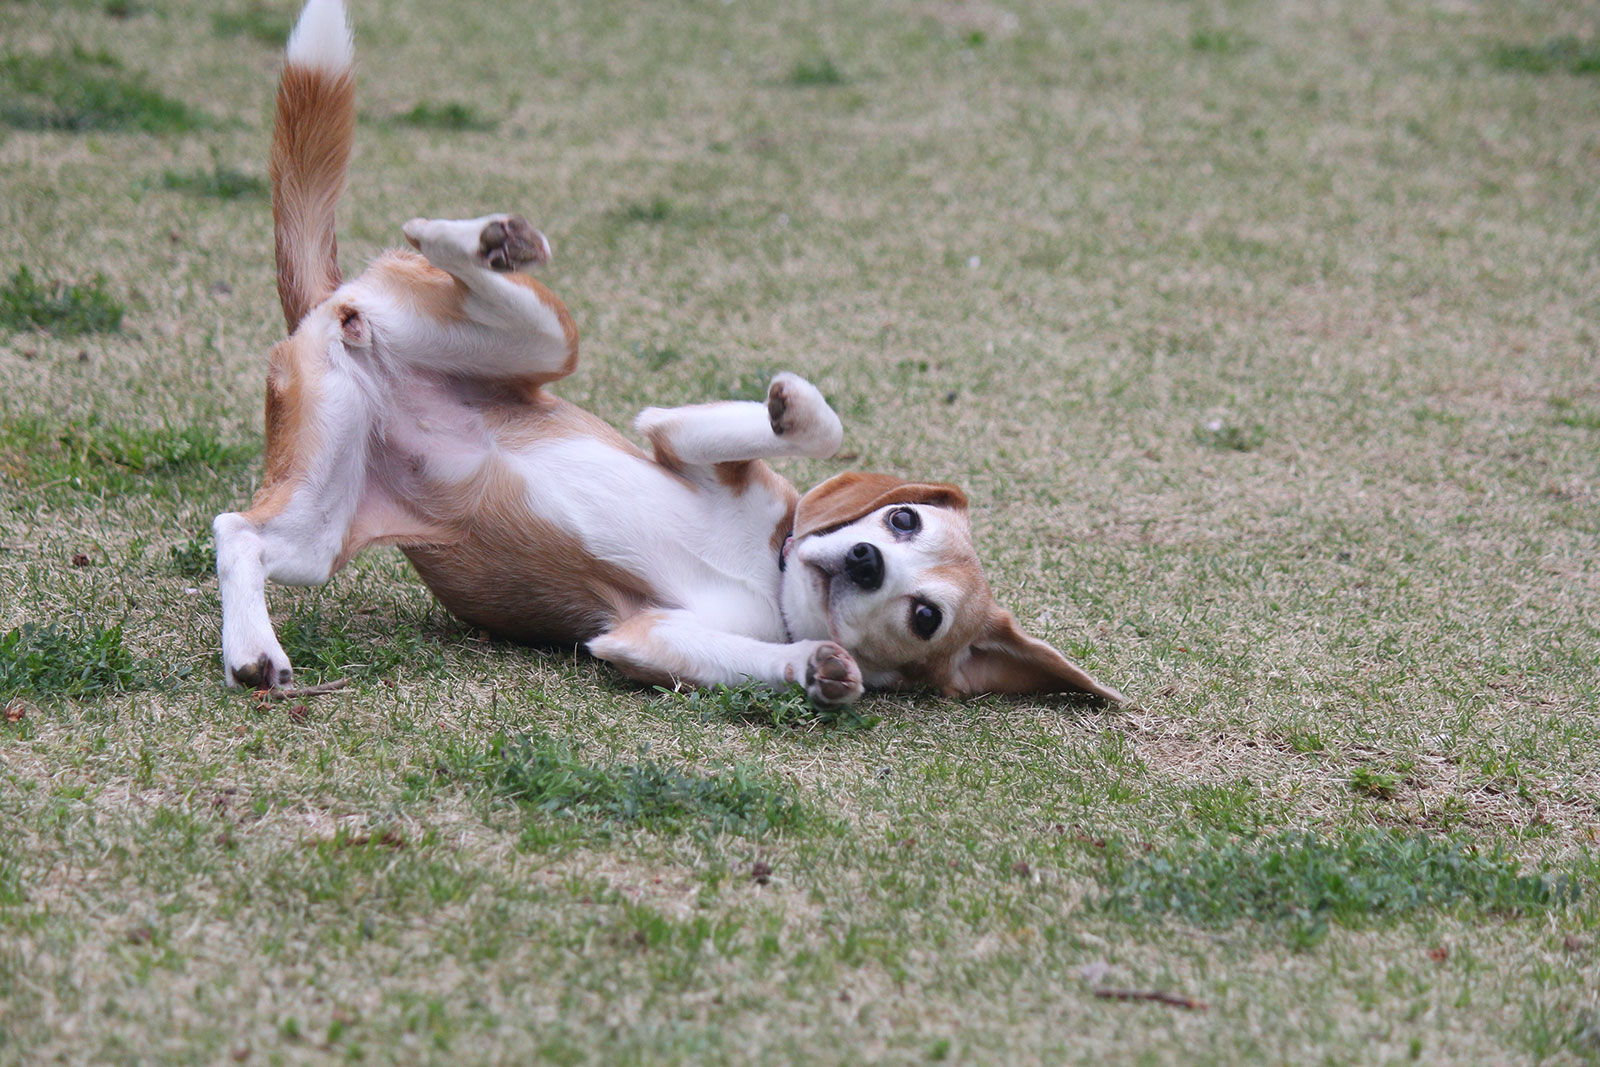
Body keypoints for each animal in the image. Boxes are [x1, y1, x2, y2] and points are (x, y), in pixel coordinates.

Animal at [209, 0, 1126, 710]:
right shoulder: (681, 439)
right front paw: (792, 404)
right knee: (479, 279)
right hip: (539, 342)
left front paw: (820, 669)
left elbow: (777, 660)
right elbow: (811, 428)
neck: (770, 576)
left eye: (925, 615)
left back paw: (254, 651)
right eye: (903, 519)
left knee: (239, 535)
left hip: (321, 528)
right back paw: (481, 238)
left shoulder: (641, 637)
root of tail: (328, 302)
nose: (867, 559)